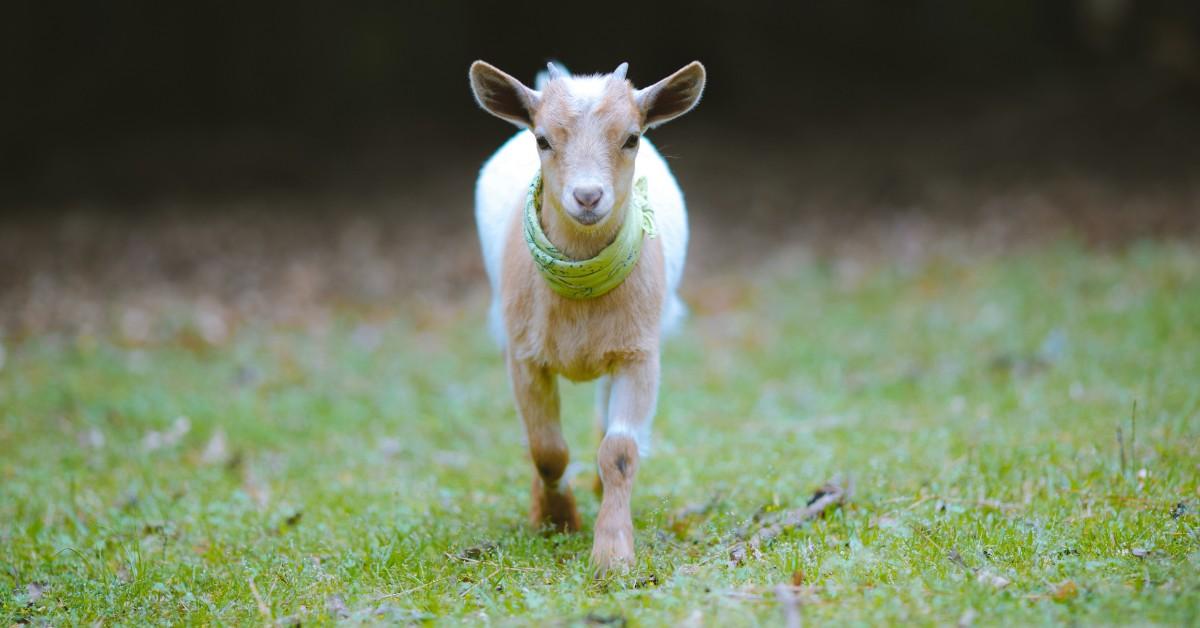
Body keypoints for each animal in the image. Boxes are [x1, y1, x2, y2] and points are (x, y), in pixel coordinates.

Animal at [463, 60, 700, 573]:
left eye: (631, 137)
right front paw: (557, 519)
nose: (588, 196)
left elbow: (621, 452)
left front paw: (612, 554)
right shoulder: (523, 355)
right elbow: (546, 450)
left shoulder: (639, 353)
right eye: (542, 139)